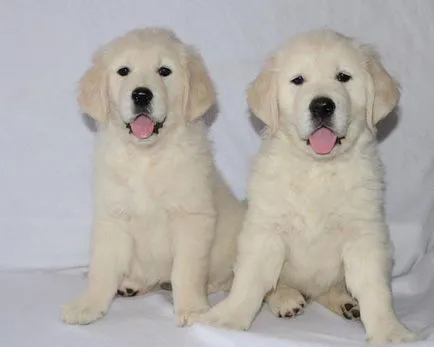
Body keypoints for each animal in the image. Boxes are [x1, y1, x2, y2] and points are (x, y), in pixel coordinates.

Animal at [59, 28, 246, 328]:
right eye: (123, 71)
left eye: (164, 71)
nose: (141, 95)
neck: (146, 158)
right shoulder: (113, 216)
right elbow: (102, 268)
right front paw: (87, 304)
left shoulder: (192, 217)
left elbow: (186, 271)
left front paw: (192, 308)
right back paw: (132, 284)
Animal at [198, 29, 418, 346]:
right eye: (298, 80)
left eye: (343, 77)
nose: (322, 105)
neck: (318, 169)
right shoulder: (266, 229)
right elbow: (250, 279)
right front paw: (228, 318)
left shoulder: (364, 234)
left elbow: (375, 288)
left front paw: (389, 331)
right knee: (272, 284)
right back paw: (287, 299)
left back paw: (346, 302)